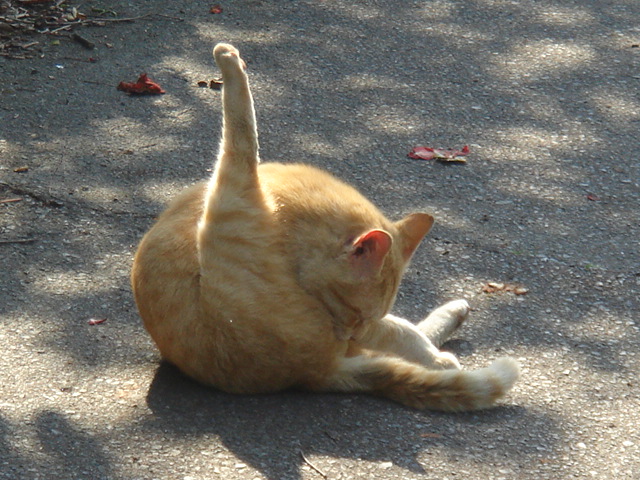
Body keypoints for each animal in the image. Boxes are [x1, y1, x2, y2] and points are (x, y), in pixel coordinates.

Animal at [131, 43, 519, 411]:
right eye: (351, 311)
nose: (348, 333)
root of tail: (313, 376)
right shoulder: (234, 187)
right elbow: (242, 126)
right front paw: (230, 61)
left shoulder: (231, 186)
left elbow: (241, 125)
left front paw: (228, 61)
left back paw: (449, 330)